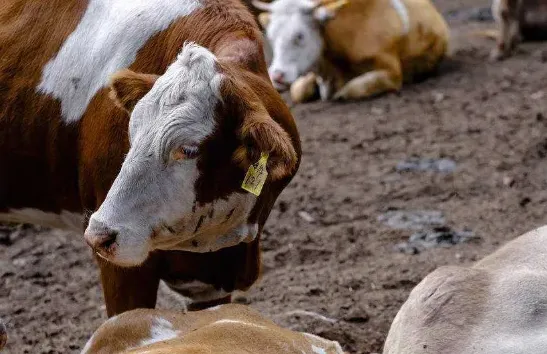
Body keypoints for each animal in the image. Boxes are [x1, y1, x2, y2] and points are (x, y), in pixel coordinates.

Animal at [253, 0, 450, 103]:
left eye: (300, 35)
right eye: (270, 35)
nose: (277, 75)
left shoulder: (391, 72)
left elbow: (352, 89)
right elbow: (298, 90)